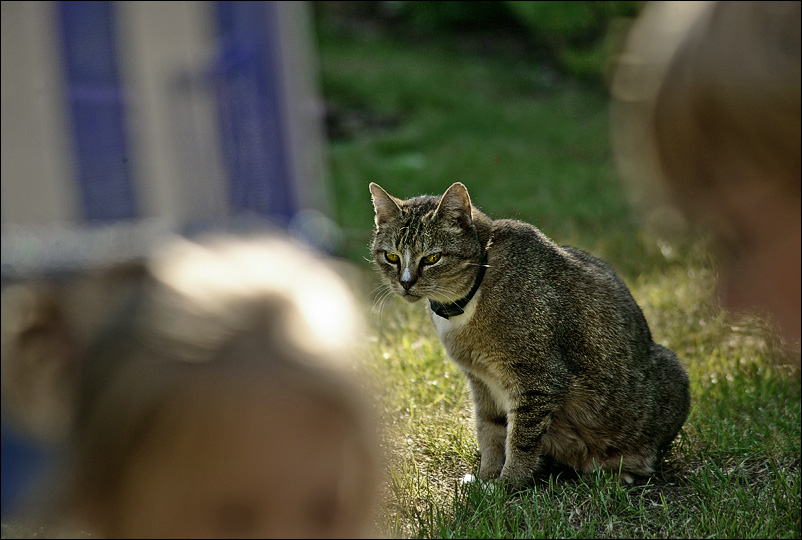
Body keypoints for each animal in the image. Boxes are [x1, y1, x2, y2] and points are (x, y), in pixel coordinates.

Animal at [368, 184, 688, 488]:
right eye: (392, 256)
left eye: (432, 257)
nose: (405, 283)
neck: (472, 293)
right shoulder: (482, 383)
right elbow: (490, 432)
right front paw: (486, 478)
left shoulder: (539, 379)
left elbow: (520, 440)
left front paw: (507, 484)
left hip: (671, 375)